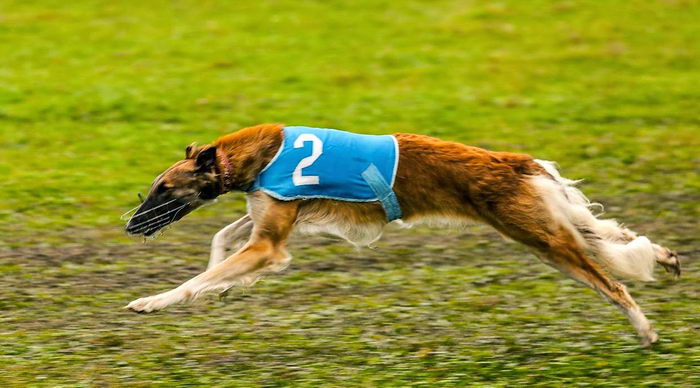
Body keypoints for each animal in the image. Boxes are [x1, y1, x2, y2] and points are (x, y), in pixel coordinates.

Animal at [124, 123, 680, 346]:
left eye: (164, 189)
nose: (130, 224)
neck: (252, 154)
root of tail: (515, 162)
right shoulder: (272, 219)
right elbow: (220, 244)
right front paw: (220, 291)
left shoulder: (271, 244)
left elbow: (198, 276)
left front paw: (153, 301)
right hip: (557, 226)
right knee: (613, 238)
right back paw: (666, 258)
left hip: (544, 240)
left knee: (615, 283)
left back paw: (646, 332)